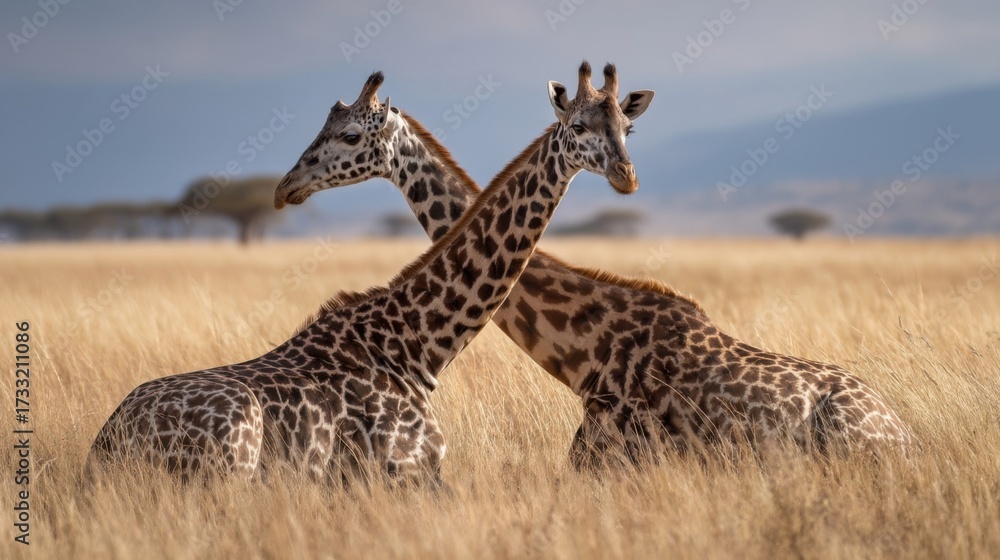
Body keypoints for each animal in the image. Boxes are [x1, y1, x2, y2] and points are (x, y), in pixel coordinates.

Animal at [88, 61, 653, 483]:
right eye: (578, 126)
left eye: (628, 130)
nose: (626, 176)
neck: (417, 344)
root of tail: (104, 447)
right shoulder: (408, 470)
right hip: (234, 454)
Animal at [275, 69, 914, 467]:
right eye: (579, 126)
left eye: (349, 135)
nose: (286, 186)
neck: (586, 348)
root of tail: (906, 438)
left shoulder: (612, 454)